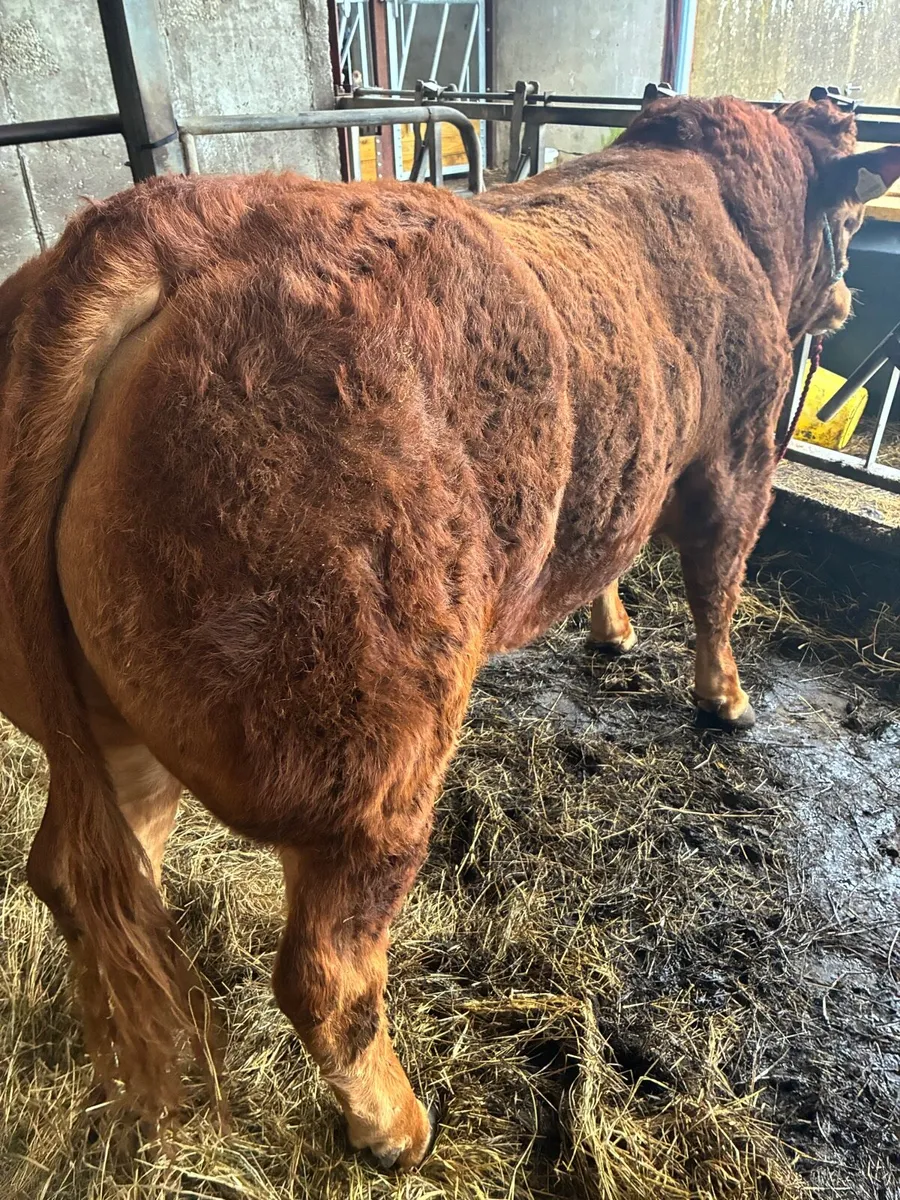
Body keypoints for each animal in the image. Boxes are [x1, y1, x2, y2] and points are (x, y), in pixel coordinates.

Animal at [1, 94, 898, 1170]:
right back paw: (396, 1127)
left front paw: (611, 631)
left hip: (106, 728)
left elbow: (608, 547)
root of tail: (155, 229)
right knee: (327, 968)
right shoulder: (739, 451)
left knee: (87, 877)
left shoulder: (622, 466)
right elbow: (717, 586)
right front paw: (725, 699)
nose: (846, 300)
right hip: (368, 746)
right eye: (850, 215)